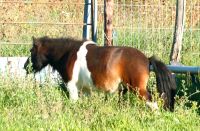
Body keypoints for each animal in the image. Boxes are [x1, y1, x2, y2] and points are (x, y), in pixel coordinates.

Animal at [23, 36, 177, 111]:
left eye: (31, 51)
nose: (25, 67)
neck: (68, 53)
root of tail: (147, 59)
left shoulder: (72, 86)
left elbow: (73, 103)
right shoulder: (86, 89)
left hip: (138, 89)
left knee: (153, 104)